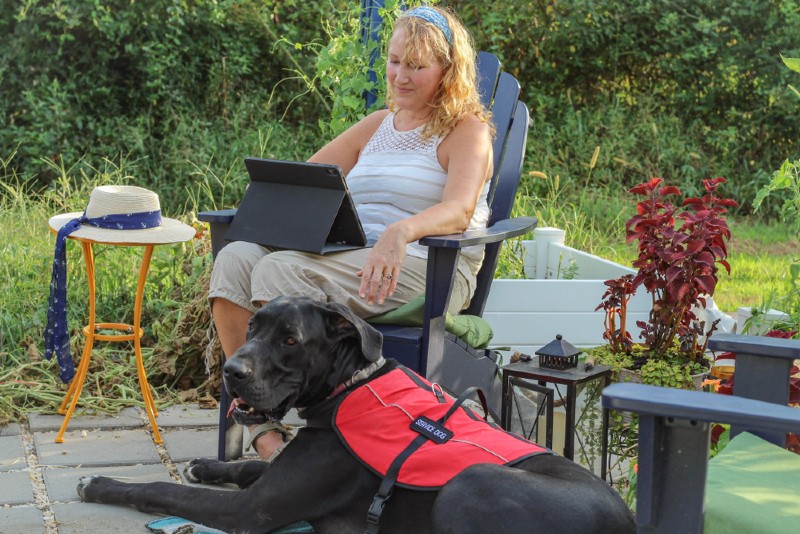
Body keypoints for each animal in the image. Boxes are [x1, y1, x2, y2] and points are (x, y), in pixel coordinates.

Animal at [78, 300, 636, 532]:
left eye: (290, 340)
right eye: (253, 326)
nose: (231, 370)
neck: (349, 386)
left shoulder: (249, 511)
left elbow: (162, 490)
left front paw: (101, 483)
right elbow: (252, 464)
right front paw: (206, 465)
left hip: (470, 483)